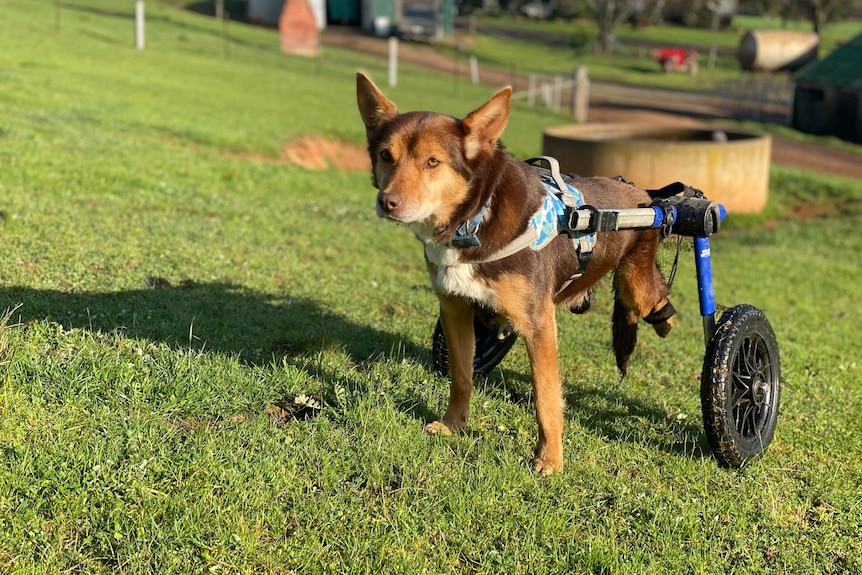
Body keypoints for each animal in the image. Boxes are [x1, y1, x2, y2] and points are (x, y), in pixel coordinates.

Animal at [356, 72, 676, 474]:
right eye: (386, 155)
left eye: (433, 161)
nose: (387, 203)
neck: (474, 219)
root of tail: (642, 194)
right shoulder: (455, 309)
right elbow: (461, 376)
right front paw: (453, 425)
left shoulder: (539, 323)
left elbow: (545, 396)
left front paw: (550, 459)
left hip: (636, 286)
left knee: (656, 298)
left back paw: (667, 322)